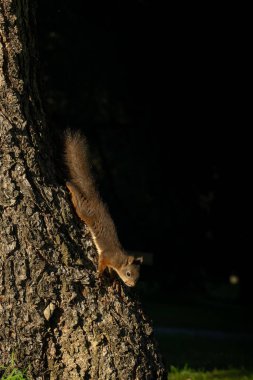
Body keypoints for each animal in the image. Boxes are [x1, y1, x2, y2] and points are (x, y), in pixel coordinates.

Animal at [63, 130, 142, 284]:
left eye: (138, 276)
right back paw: (70, 186)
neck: (119, 260)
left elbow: (110, 270)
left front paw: (112, 278)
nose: (132, 285)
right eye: (128, 273)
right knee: (78, 201)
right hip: (85, 211)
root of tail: (96, 200)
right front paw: (99, 273)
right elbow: (102, 263)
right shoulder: (107, 256)